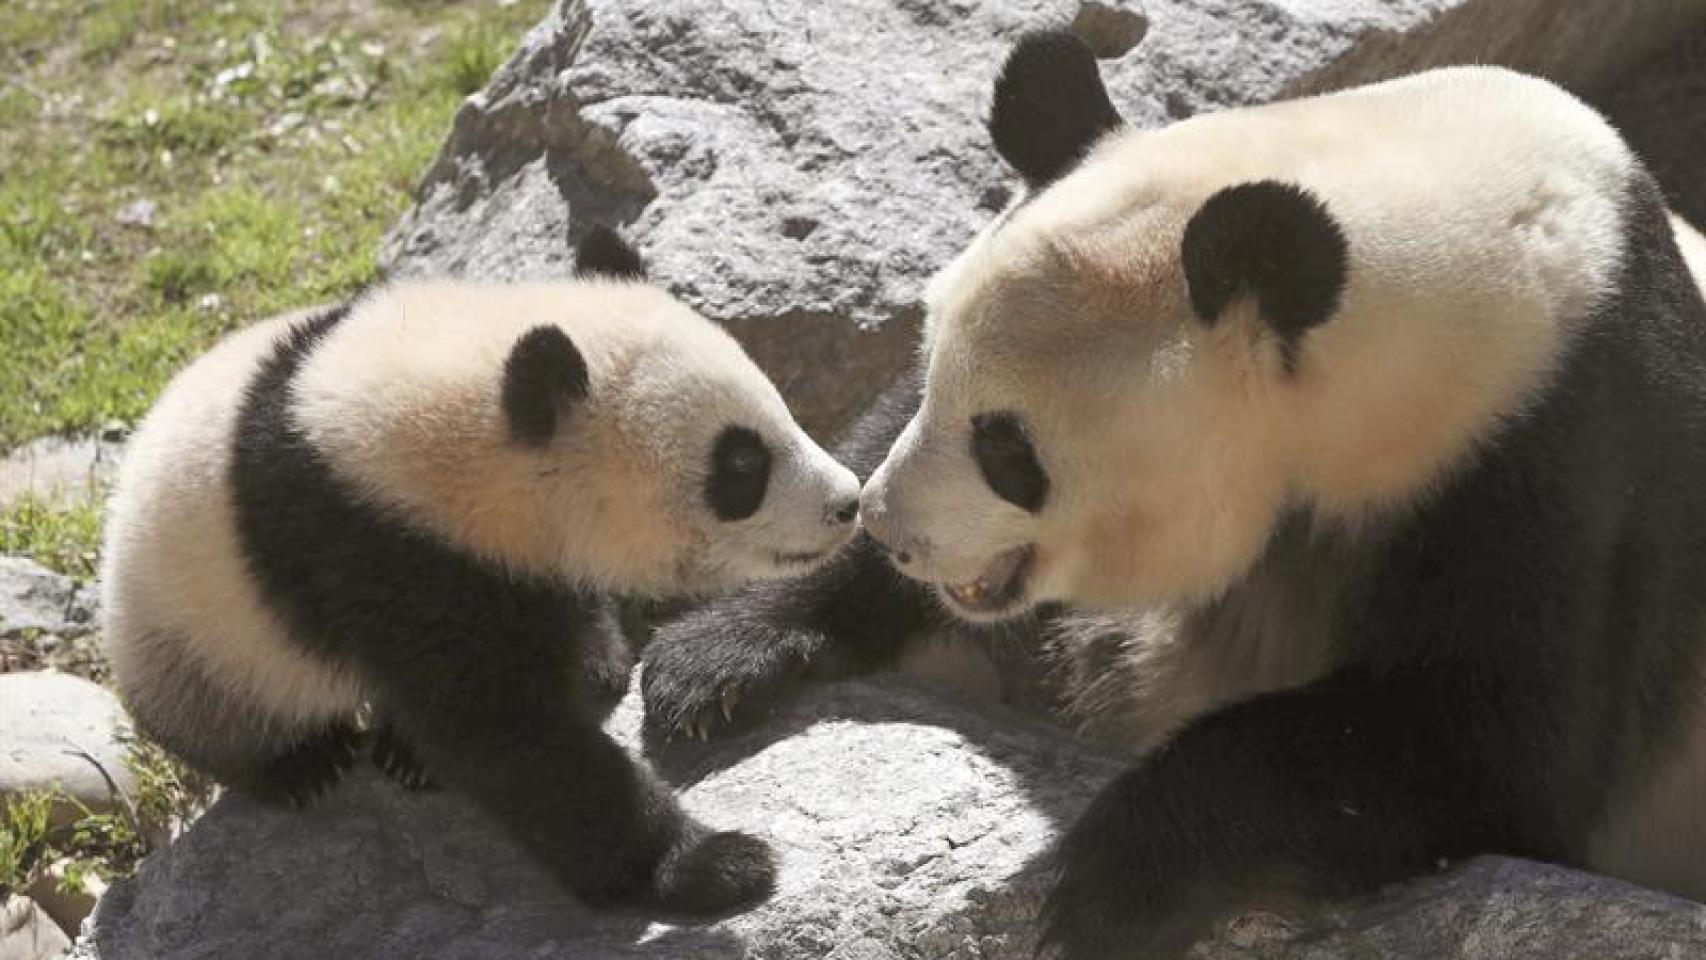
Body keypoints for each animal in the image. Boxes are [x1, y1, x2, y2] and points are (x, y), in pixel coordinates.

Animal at [99, 226, 859, 913]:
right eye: (742, 465)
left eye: (782, 411)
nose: (849, 502)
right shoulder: (375, 545)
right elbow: (505, 735)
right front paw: (709, 863)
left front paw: (595, 665)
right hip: (190, 623)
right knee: (210, 710)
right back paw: (302, 765)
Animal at [644, 31, 1706, 960]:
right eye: (928, 356)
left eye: (1006, 444)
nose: (893, 529)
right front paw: (715, 658)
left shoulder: (1566, 456)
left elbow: (1484, 743)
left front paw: (1111, 882)